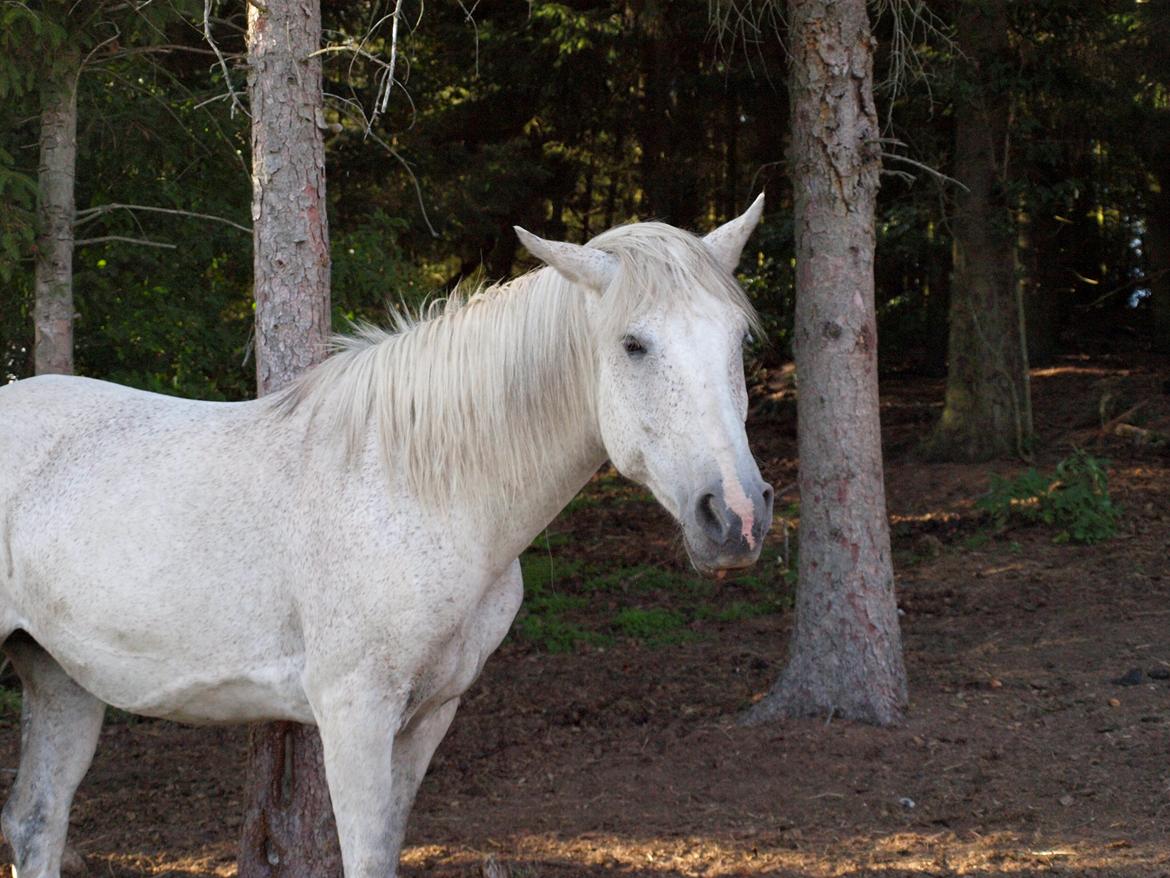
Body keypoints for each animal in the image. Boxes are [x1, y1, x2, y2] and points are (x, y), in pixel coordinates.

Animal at [2, 201, 776, 878]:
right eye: (633, 345)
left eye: (738, 341)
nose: (737, 516)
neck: (423, 486)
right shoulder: (354, 713)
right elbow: (366, 856)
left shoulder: (430, 713)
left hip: (61, 679)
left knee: (36, 822)